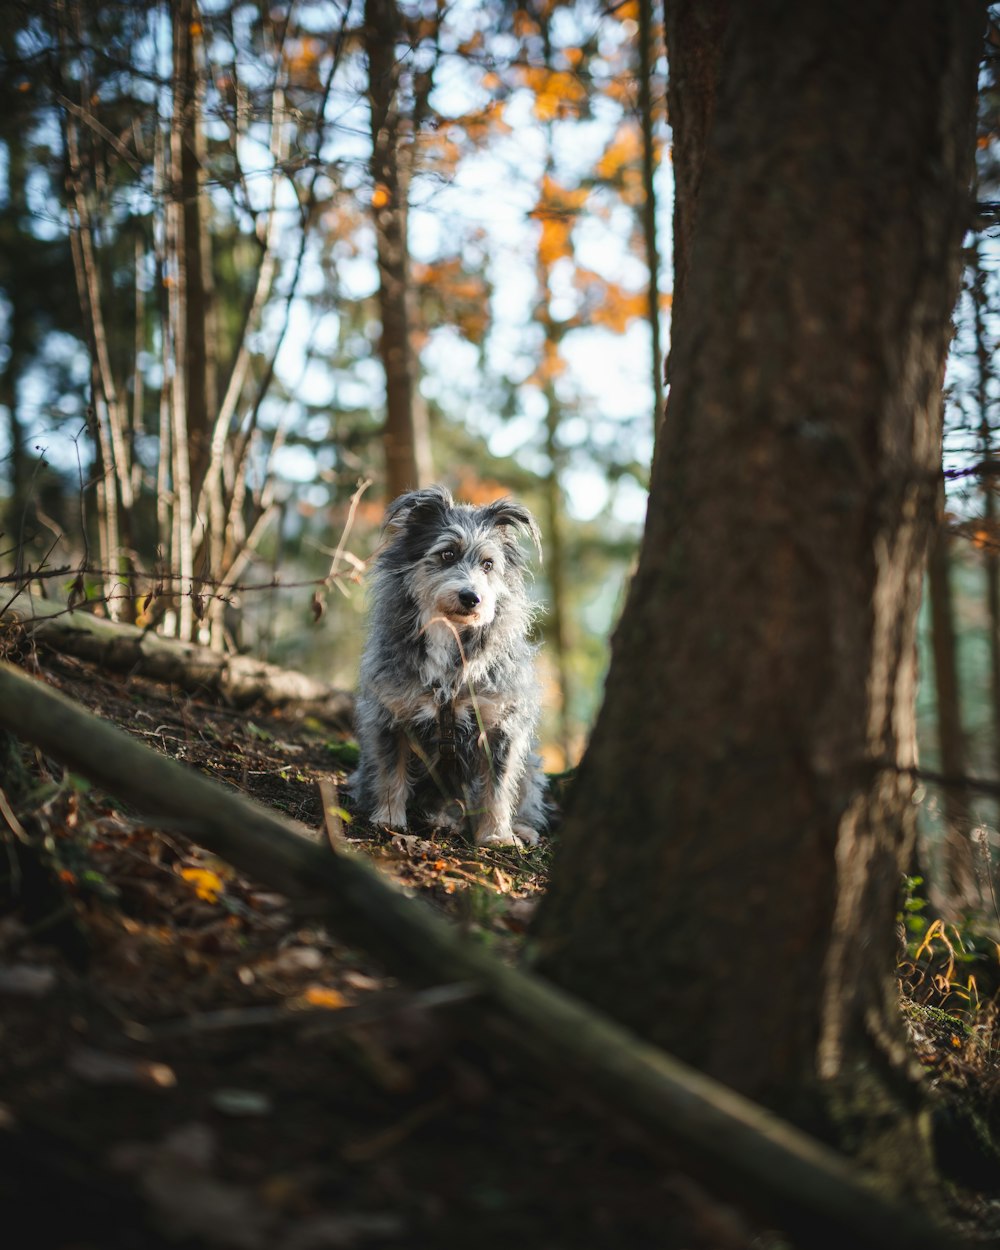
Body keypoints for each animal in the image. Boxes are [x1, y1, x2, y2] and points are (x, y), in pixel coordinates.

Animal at [350, 480, 547, 850]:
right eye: (447, 554)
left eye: (488, 564)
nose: (472, 598)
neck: (449, 634)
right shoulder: (391, 714)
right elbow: (390, 771)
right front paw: (388, 817)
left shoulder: (499, 726)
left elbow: (498, 787)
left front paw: (496, 835)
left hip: (530, 763)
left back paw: (520, 828)